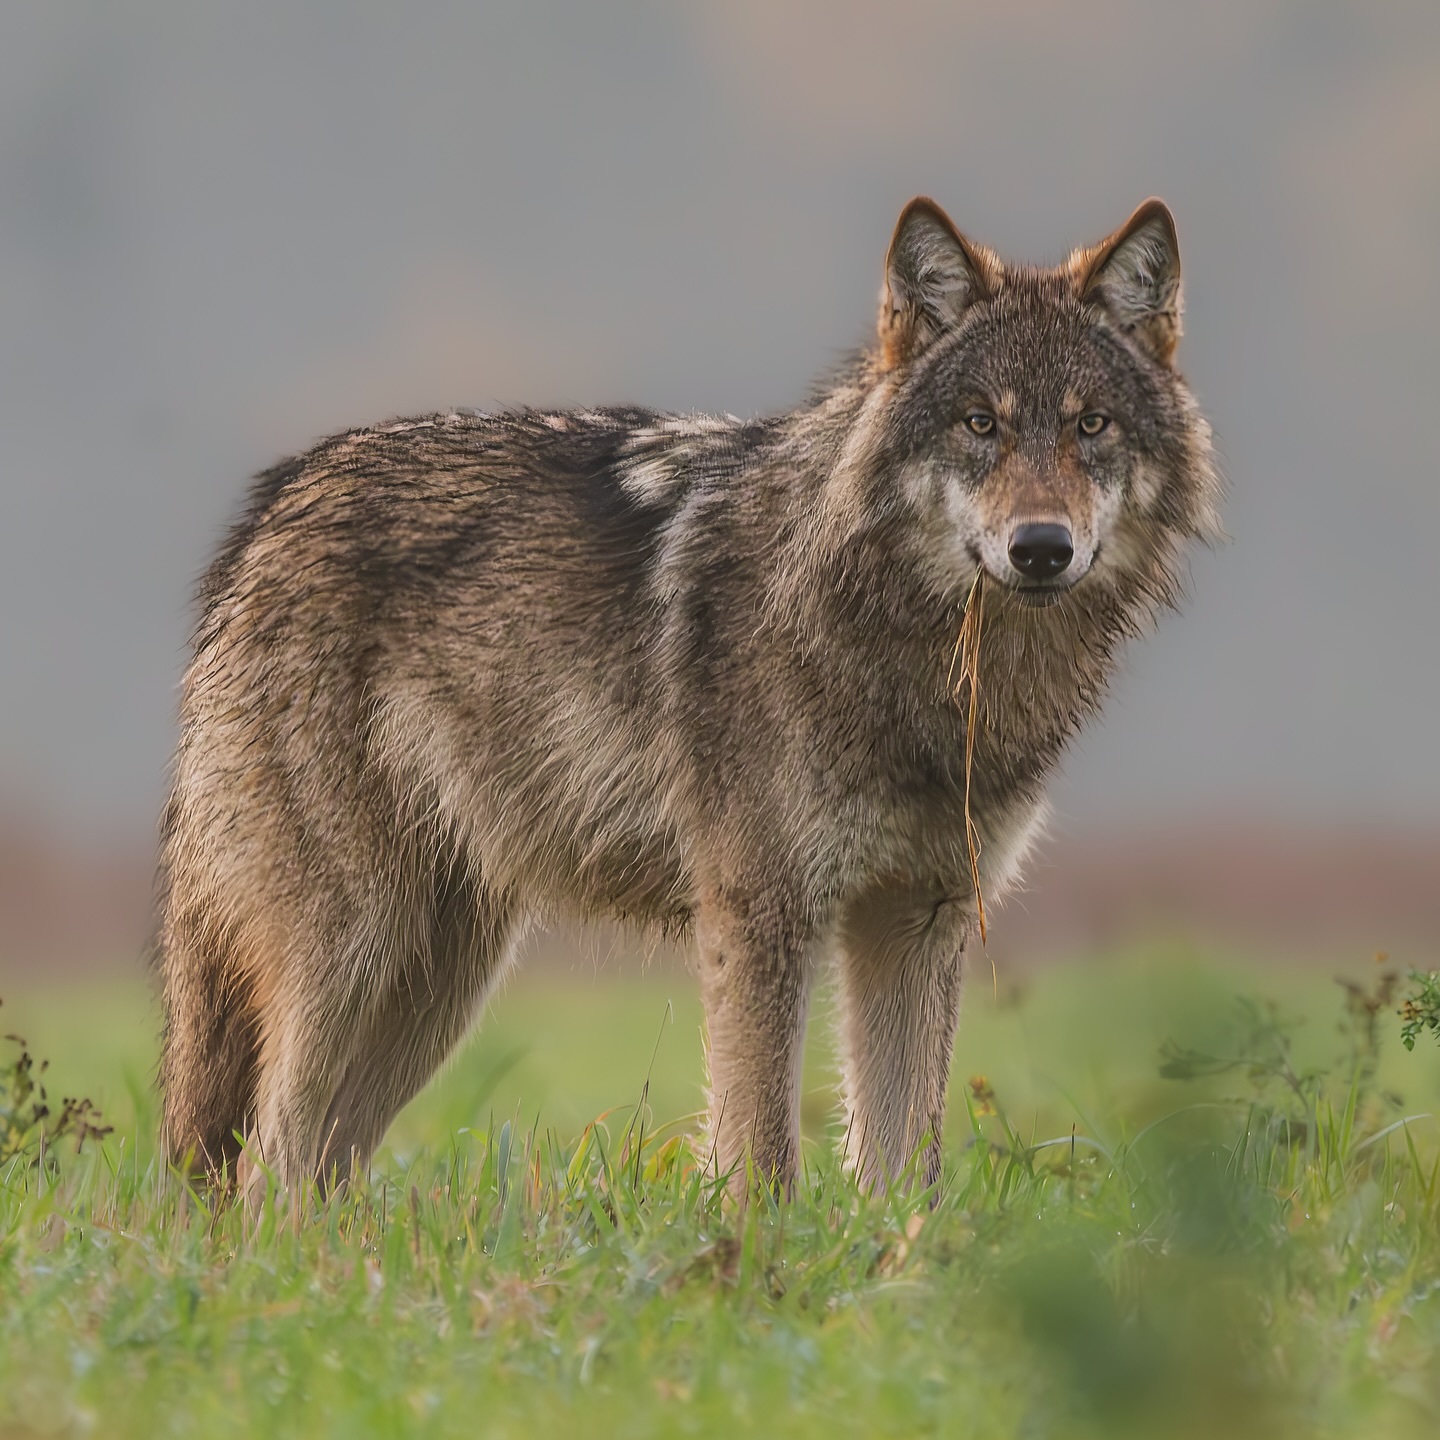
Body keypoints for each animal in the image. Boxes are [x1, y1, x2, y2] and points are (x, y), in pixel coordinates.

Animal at [154, 197, 1215, 1198]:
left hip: (436, 985)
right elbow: (762, 1154)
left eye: (1090, 425)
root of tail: (272, 505)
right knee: (266, 1164)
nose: (1041, 548)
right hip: (354, 953)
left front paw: (901, 1260)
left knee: (316, 1168)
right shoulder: (759, 912)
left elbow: (903, 1164)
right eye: (980, 424)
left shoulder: (921, 915)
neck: (928, 669)